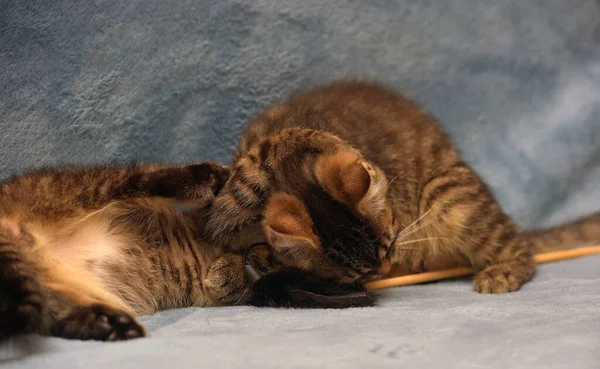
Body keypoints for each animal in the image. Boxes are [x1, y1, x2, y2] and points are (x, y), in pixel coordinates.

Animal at [0, 162, 248, 340]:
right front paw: (228, 270)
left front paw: (228, 271)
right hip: (82, 188)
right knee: (139, 179)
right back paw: (210, 177)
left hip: (48, 284)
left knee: (52, 310)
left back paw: (107, 323)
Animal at [207, 81, 600, 294]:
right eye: (358, 275)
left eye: (392, 243)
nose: (387, 268)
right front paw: (245, 264)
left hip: (451, 196)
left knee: (522, 250)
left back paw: (502, 271)